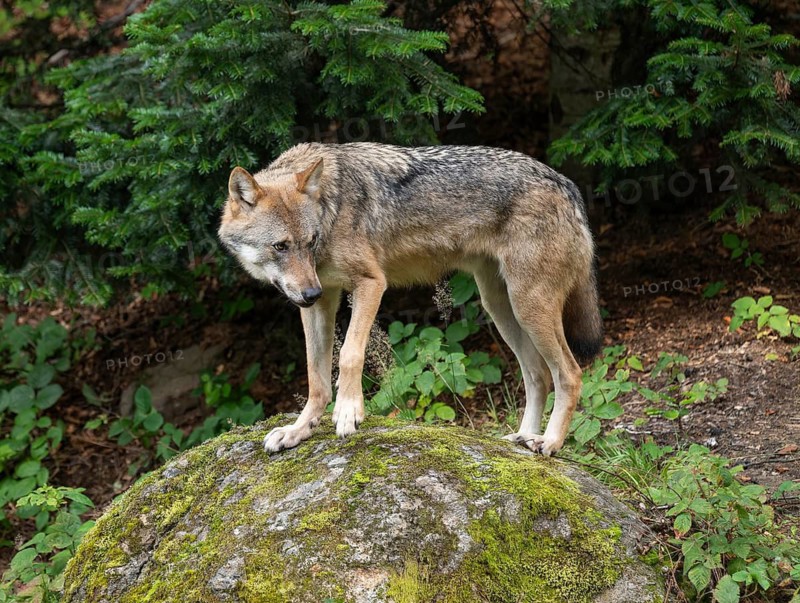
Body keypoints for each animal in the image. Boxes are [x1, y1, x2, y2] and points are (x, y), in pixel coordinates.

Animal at [218, 142, 602, 456]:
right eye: (281, 246)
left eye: (310, 242)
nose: (309, 293)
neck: (330, 207)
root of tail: (566, 184)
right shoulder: (322, 301)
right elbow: (316, 377)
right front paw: (299, 430)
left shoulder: (371, 284)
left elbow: (349, 355)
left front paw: (348, 412)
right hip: (500, 308)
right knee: (538, 374)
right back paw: (521, 438)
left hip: (527, 307)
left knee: (570, 374)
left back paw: (548, 442)